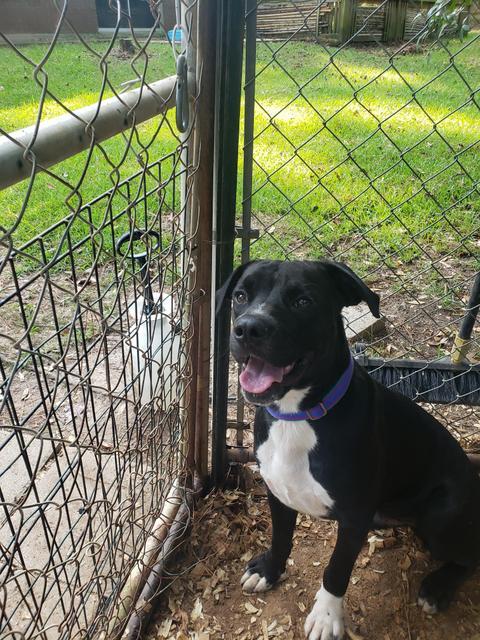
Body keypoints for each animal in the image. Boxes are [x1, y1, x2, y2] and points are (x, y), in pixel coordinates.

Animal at [217, 258, 480, 640]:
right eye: (240, 295)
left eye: (303, 301)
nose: (249, 328)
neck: (298, 416)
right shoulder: (278, 492)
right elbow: (281, 537)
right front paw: (269, 569)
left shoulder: (354, 517)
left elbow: (336, 569)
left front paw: (327, 616)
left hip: (442, 514)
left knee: (470, 557)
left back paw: (437, 587)